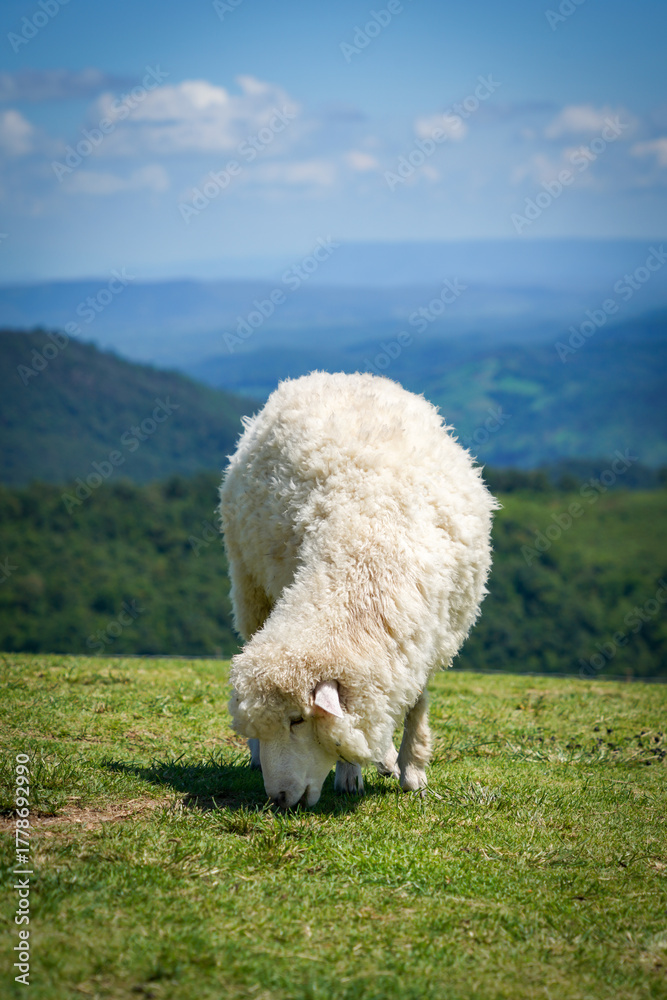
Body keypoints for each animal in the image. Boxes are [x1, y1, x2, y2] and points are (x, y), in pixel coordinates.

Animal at [219, 371, 498, 808]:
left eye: (298, 720)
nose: (277, 799)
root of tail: (331, 375)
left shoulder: (426, 634)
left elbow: (417, 701)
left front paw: (412, 772)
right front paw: (351, 775)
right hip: (250, 586)